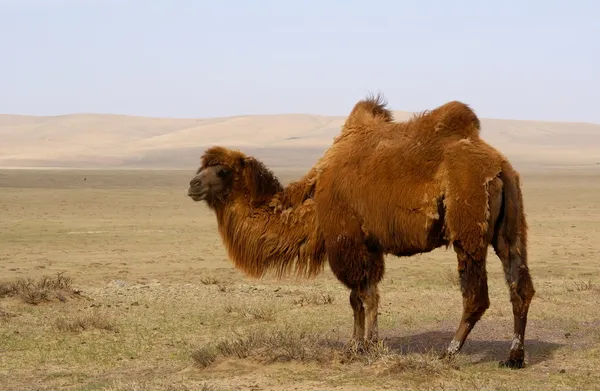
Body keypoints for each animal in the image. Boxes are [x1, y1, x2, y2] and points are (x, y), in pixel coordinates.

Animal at [186, 93, 536, 370]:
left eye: (222, 170)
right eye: (201, 168)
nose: (192, 184)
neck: (313, 200)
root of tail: (498, 166)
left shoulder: (347, 241)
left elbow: (363, 296)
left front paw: (367, 346)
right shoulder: (367, 245)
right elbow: (362, 296)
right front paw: (357, 345)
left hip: (468, 224)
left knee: (476, 295)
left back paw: (448, 354)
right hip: (511, 224)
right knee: (519, 283)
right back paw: (514, 357)